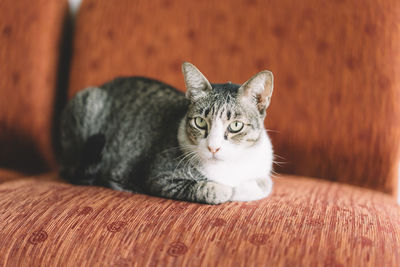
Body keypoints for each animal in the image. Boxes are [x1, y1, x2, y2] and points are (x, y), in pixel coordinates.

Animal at [60, 62, 276, 205]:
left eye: (236, 125)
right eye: (200, 122)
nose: (213, 147)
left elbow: (264, 185)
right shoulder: (159, 177)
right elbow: (215, 190)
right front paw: (229, 189)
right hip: (88, 102)